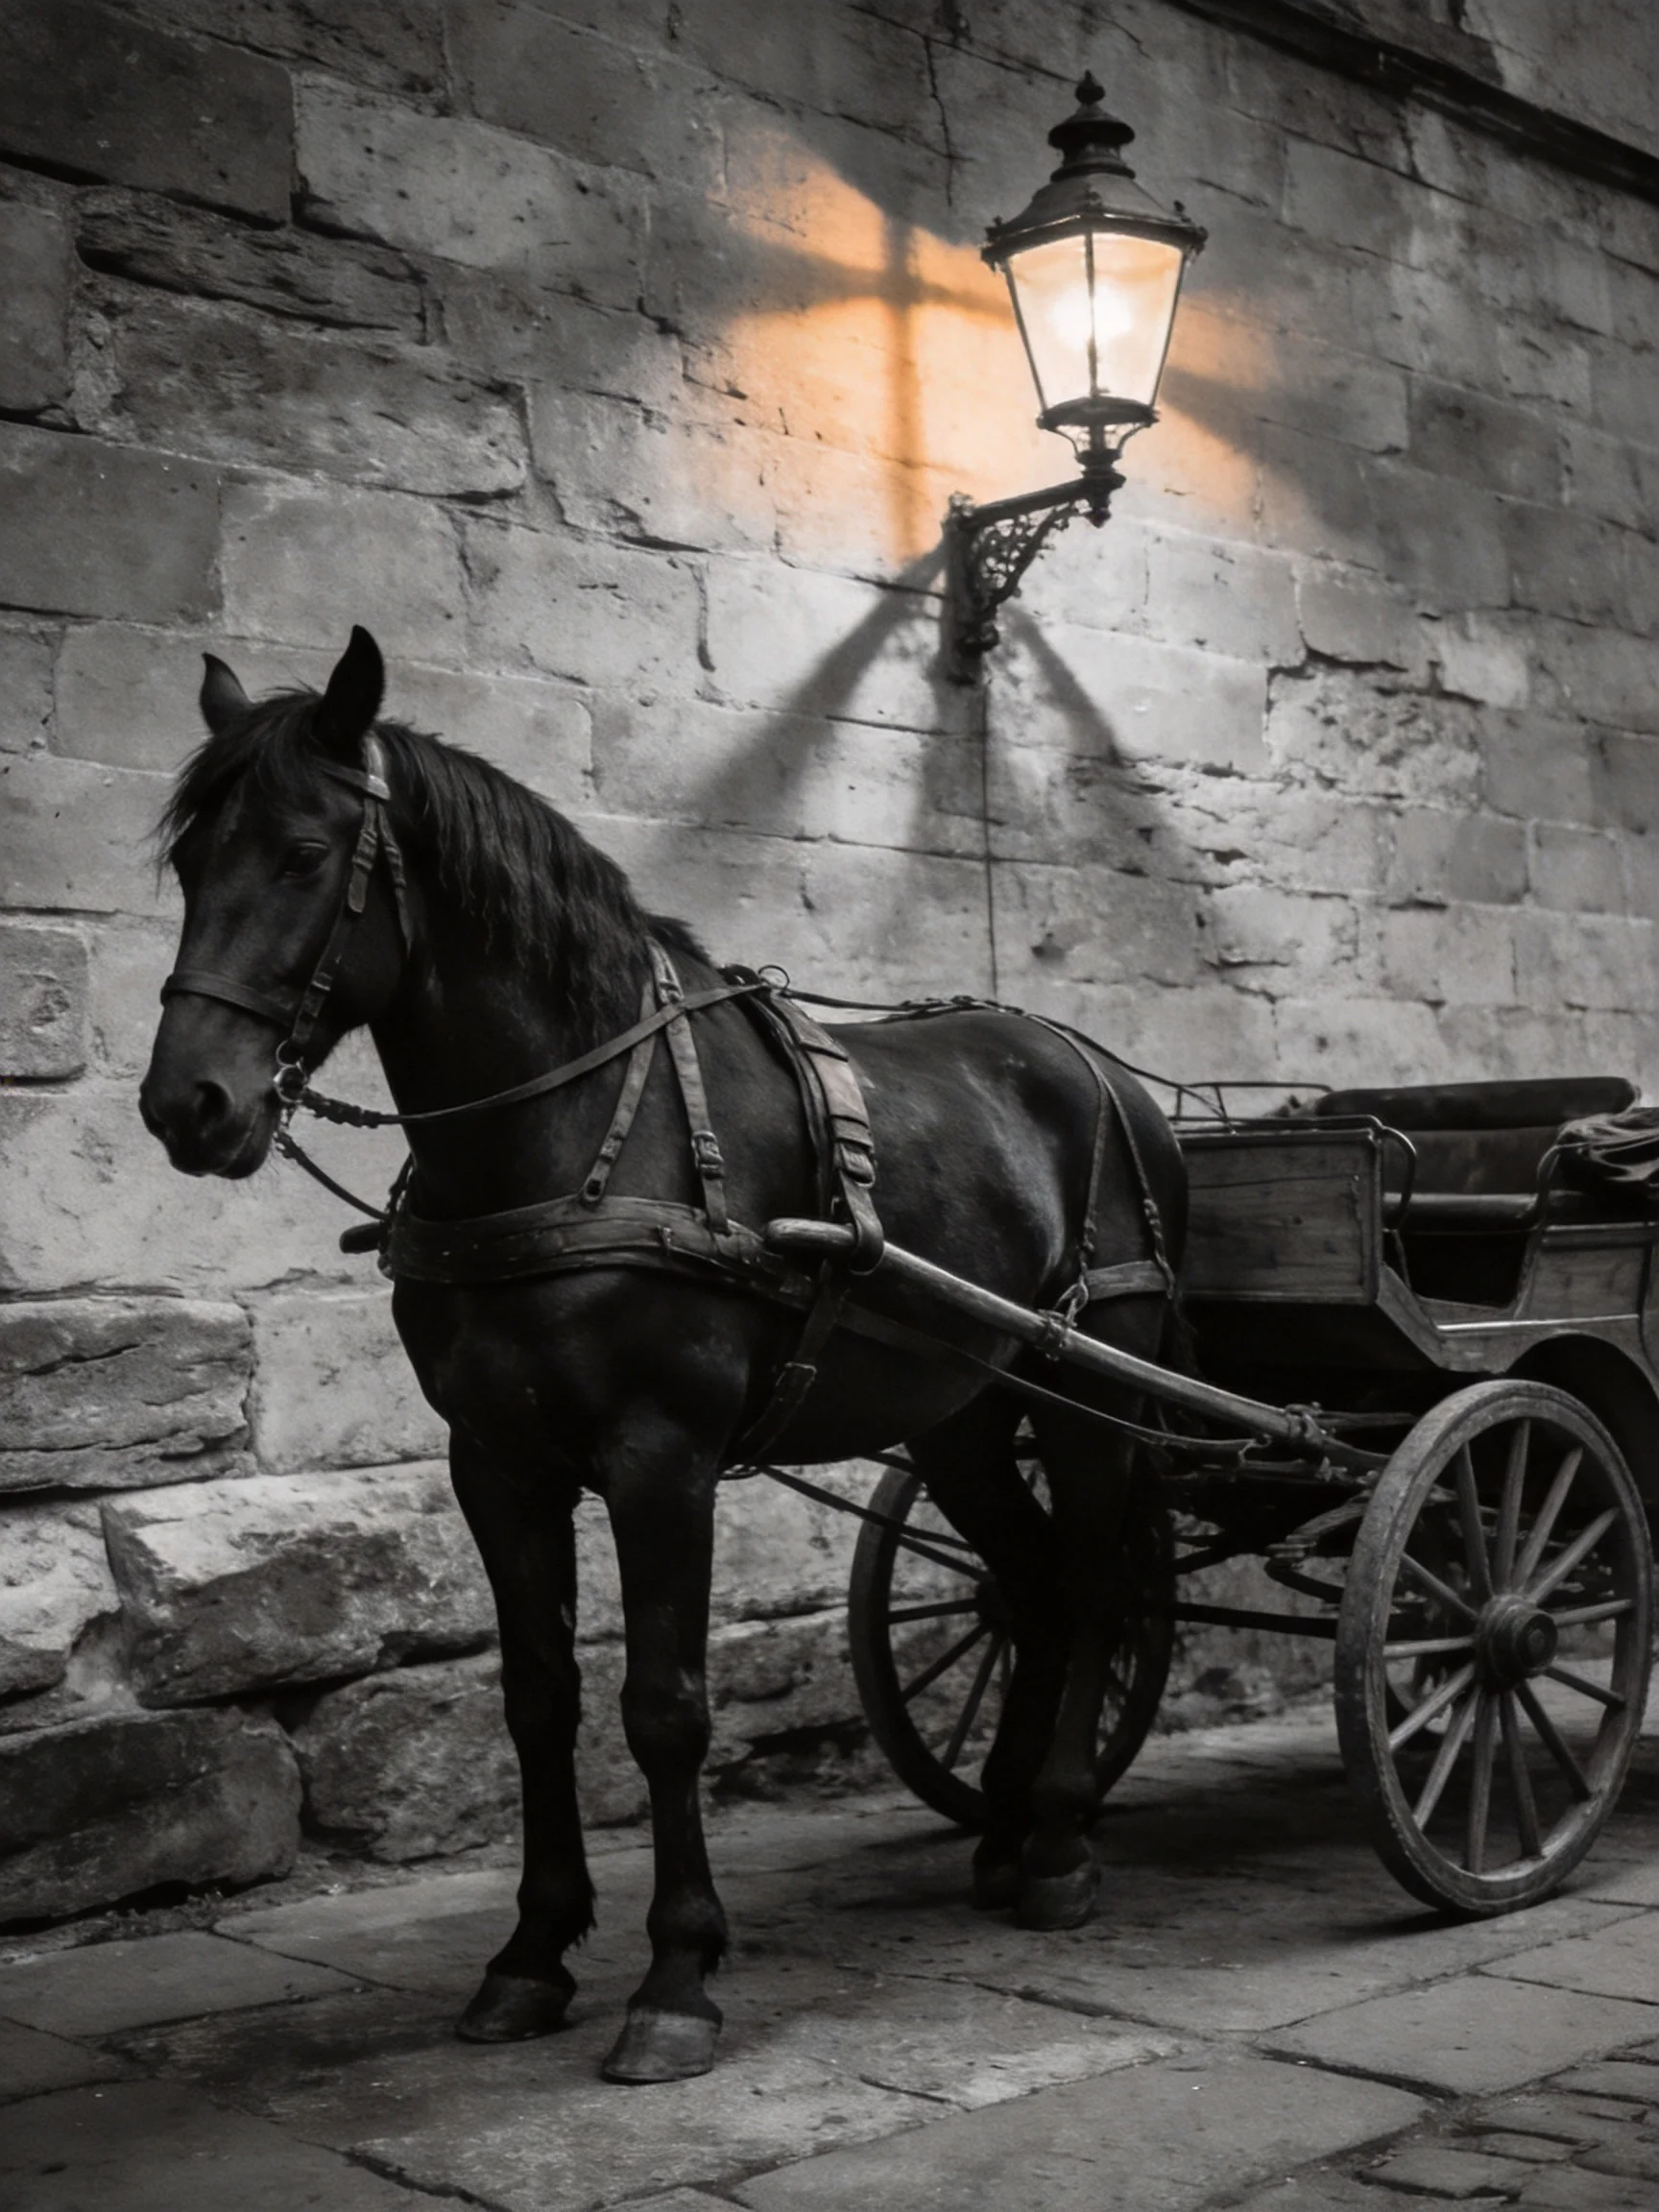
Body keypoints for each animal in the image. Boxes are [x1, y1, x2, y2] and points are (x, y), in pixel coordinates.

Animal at [139, 625, 1187, 2085]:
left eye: (300, 853)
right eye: (190, 862)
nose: (188, 1105)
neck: (576, 1132)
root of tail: (1103, 1070)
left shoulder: (662, 1455)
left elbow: (665, 1706)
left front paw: (677, 1973)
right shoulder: (496, 1461)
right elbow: (536, 1699)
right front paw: (531, 1953)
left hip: (1090, 1389)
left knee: (1092, 1585)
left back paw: (1062, 1844)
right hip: (964, 1409)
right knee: (1028, 1585)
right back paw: (1009, 1825)